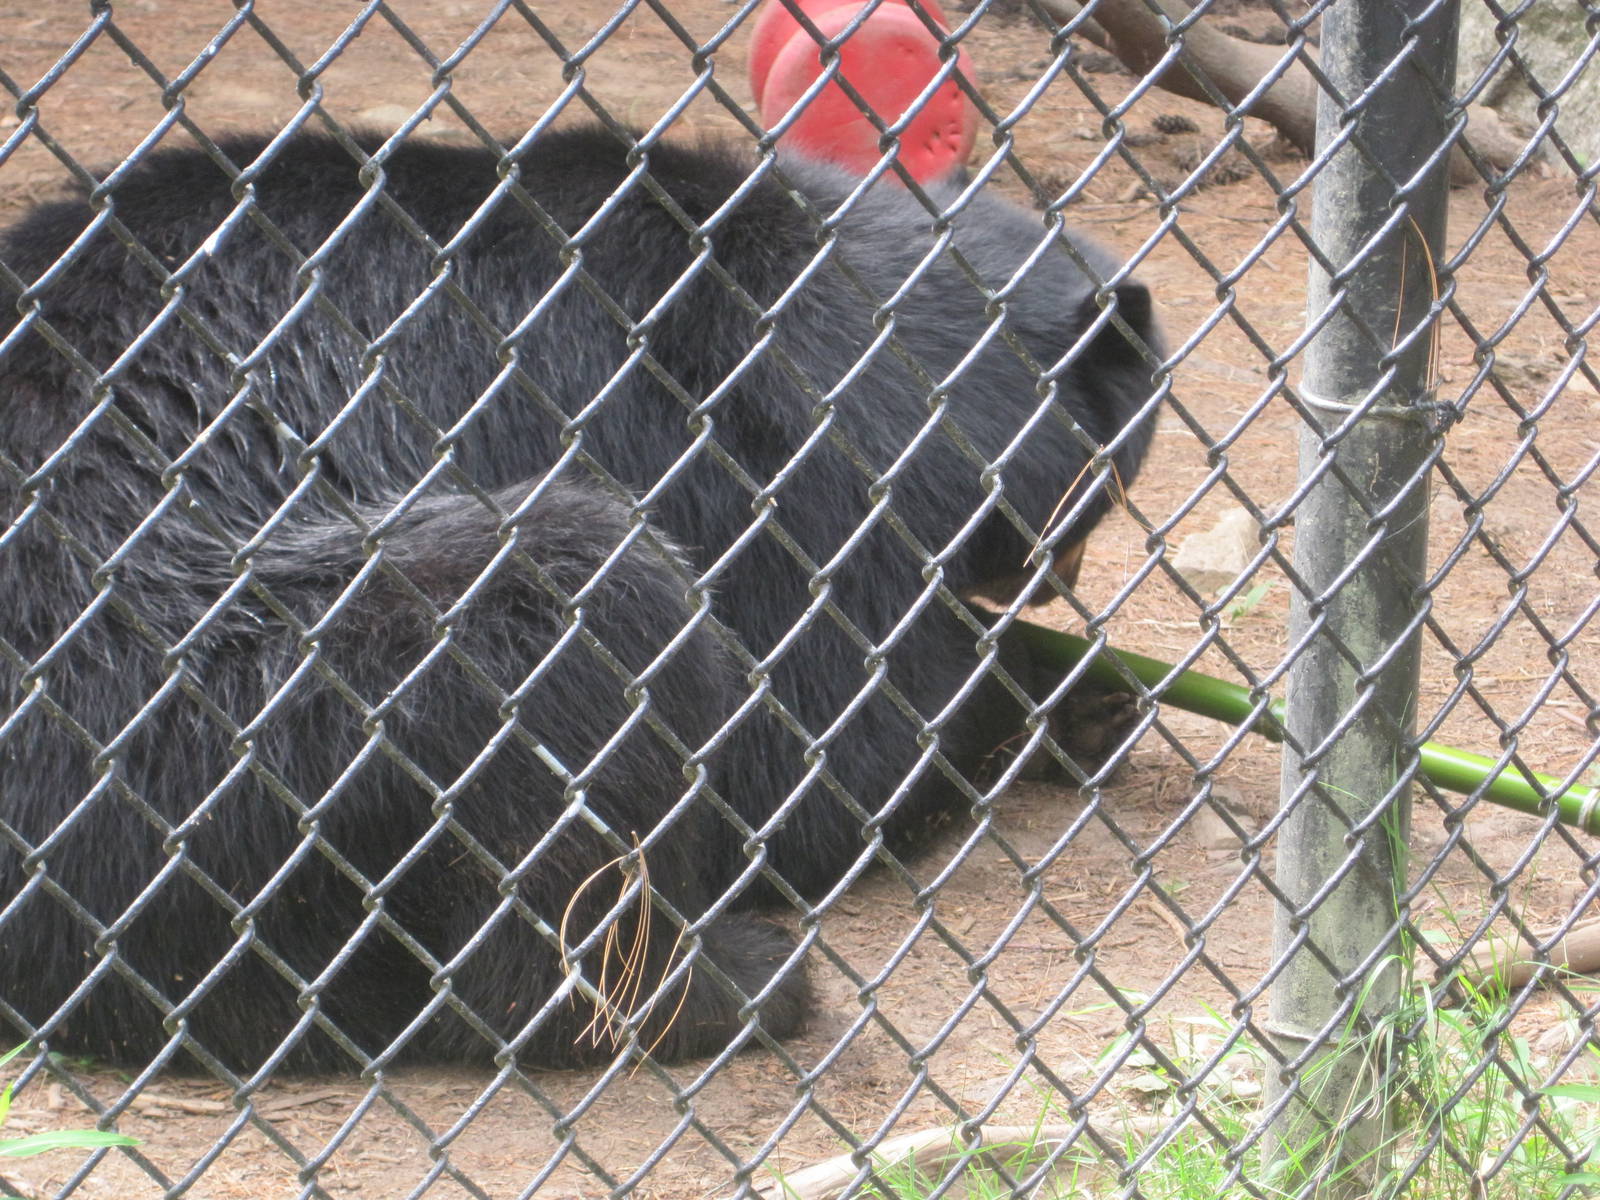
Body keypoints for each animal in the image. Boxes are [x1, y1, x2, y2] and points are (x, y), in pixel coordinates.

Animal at [0, 126, 1159, 1070]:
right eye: (1102, 487)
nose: (1054, 581)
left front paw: (1094, 691)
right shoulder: (743, 447)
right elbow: (823, 751)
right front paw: (1042, 698)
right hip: (208, 710)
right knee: (576, 613)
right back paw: (726, 985)